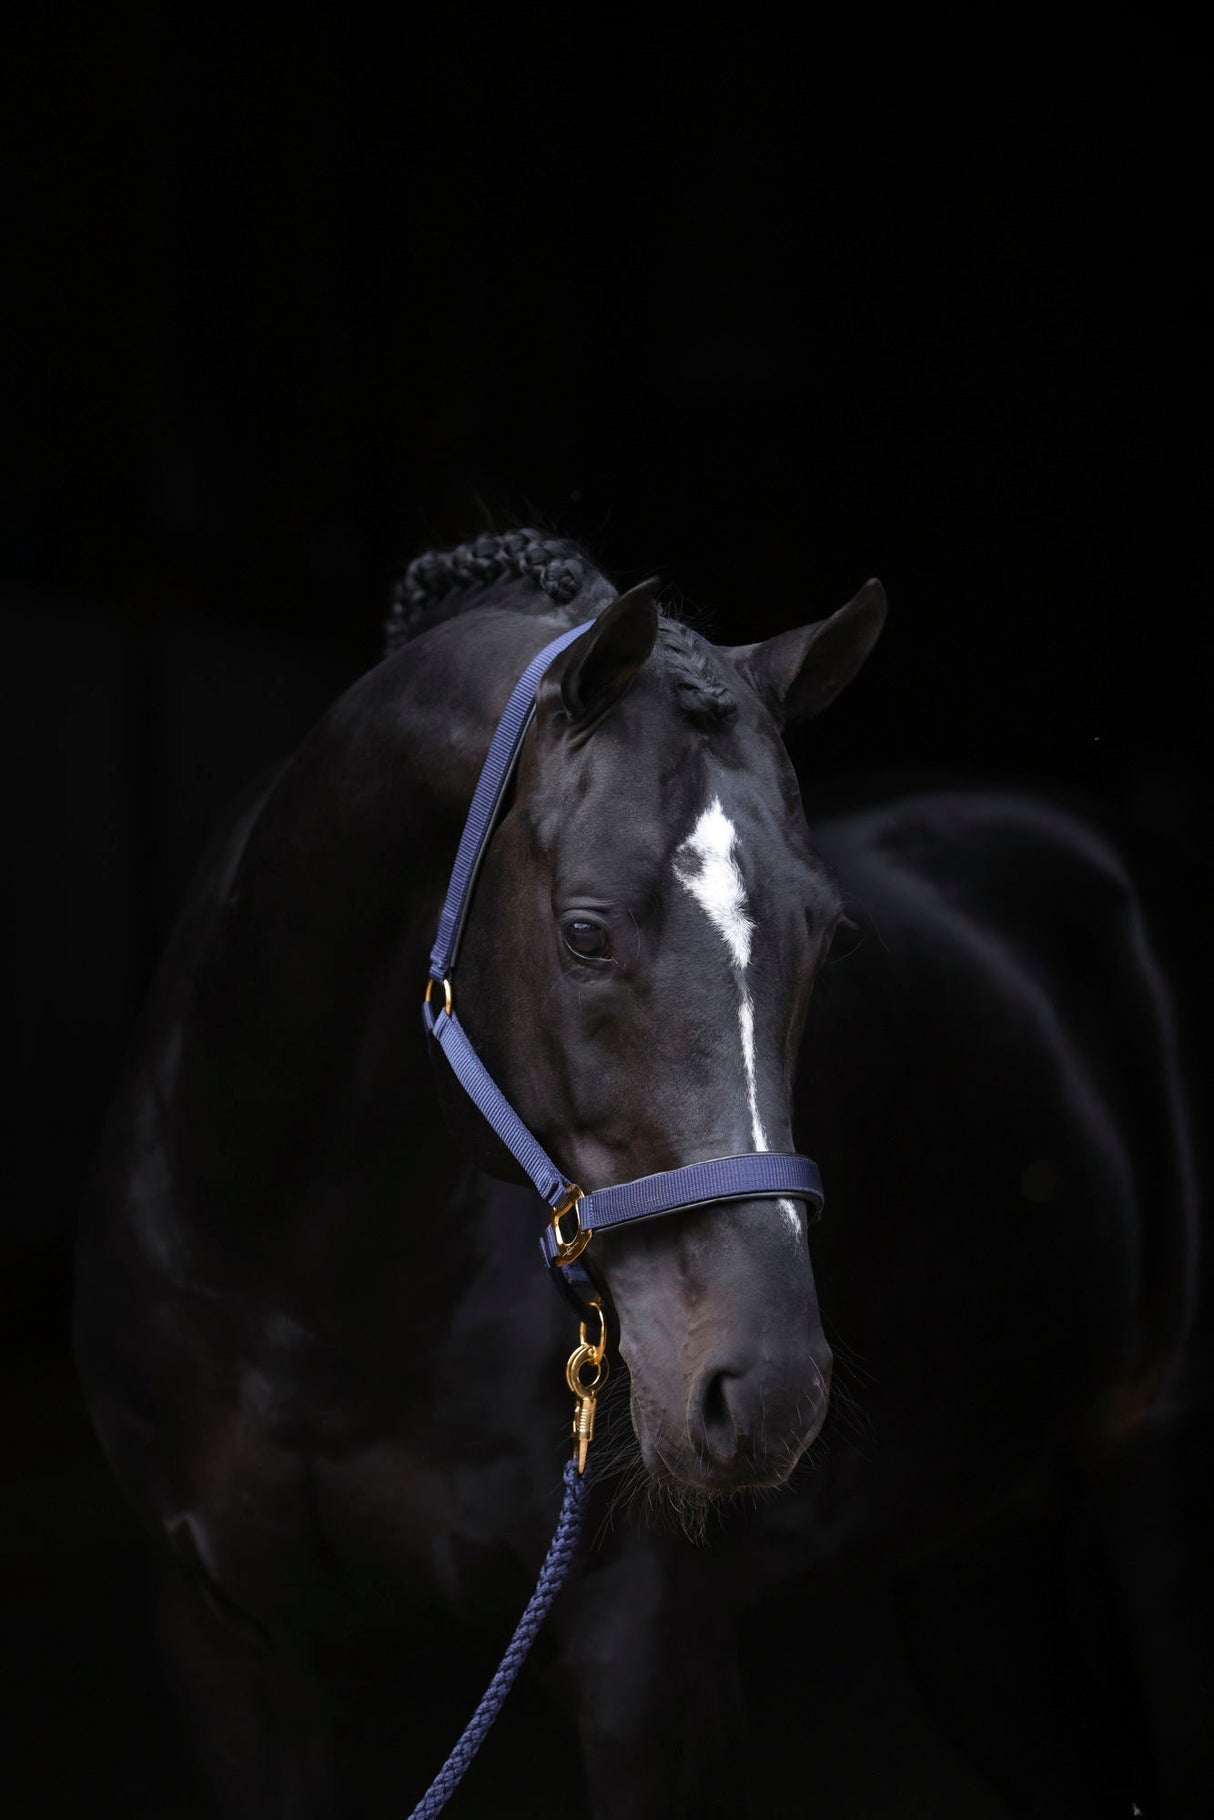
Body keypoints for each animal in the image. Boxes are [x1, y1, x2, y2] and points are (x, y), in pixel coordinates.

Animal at [73, 531, 1204, 1818]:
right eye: (583, 931)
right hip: (988, 1562)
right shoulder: (233, 1644)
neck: (301, 1280)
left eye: (829, 938)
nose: (764, 1390)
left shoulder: (646, 1659)